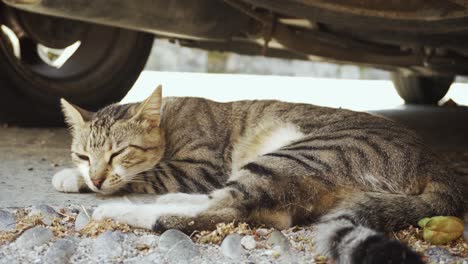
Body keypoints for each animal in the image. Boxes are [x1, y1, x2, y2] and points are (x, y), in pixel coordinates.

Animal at [53, 85, 462, 262]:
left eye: (118, 152)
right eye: (83, 154)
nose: (96, 176)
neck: (169, 120)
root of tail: (434, 160)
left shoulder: (200, 166)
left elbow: (147, 173)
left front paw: (86, 183)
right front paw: (77, 175)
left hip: (303, 152)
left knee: (228, 207)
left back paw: (123, 210)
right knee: (258, 208)